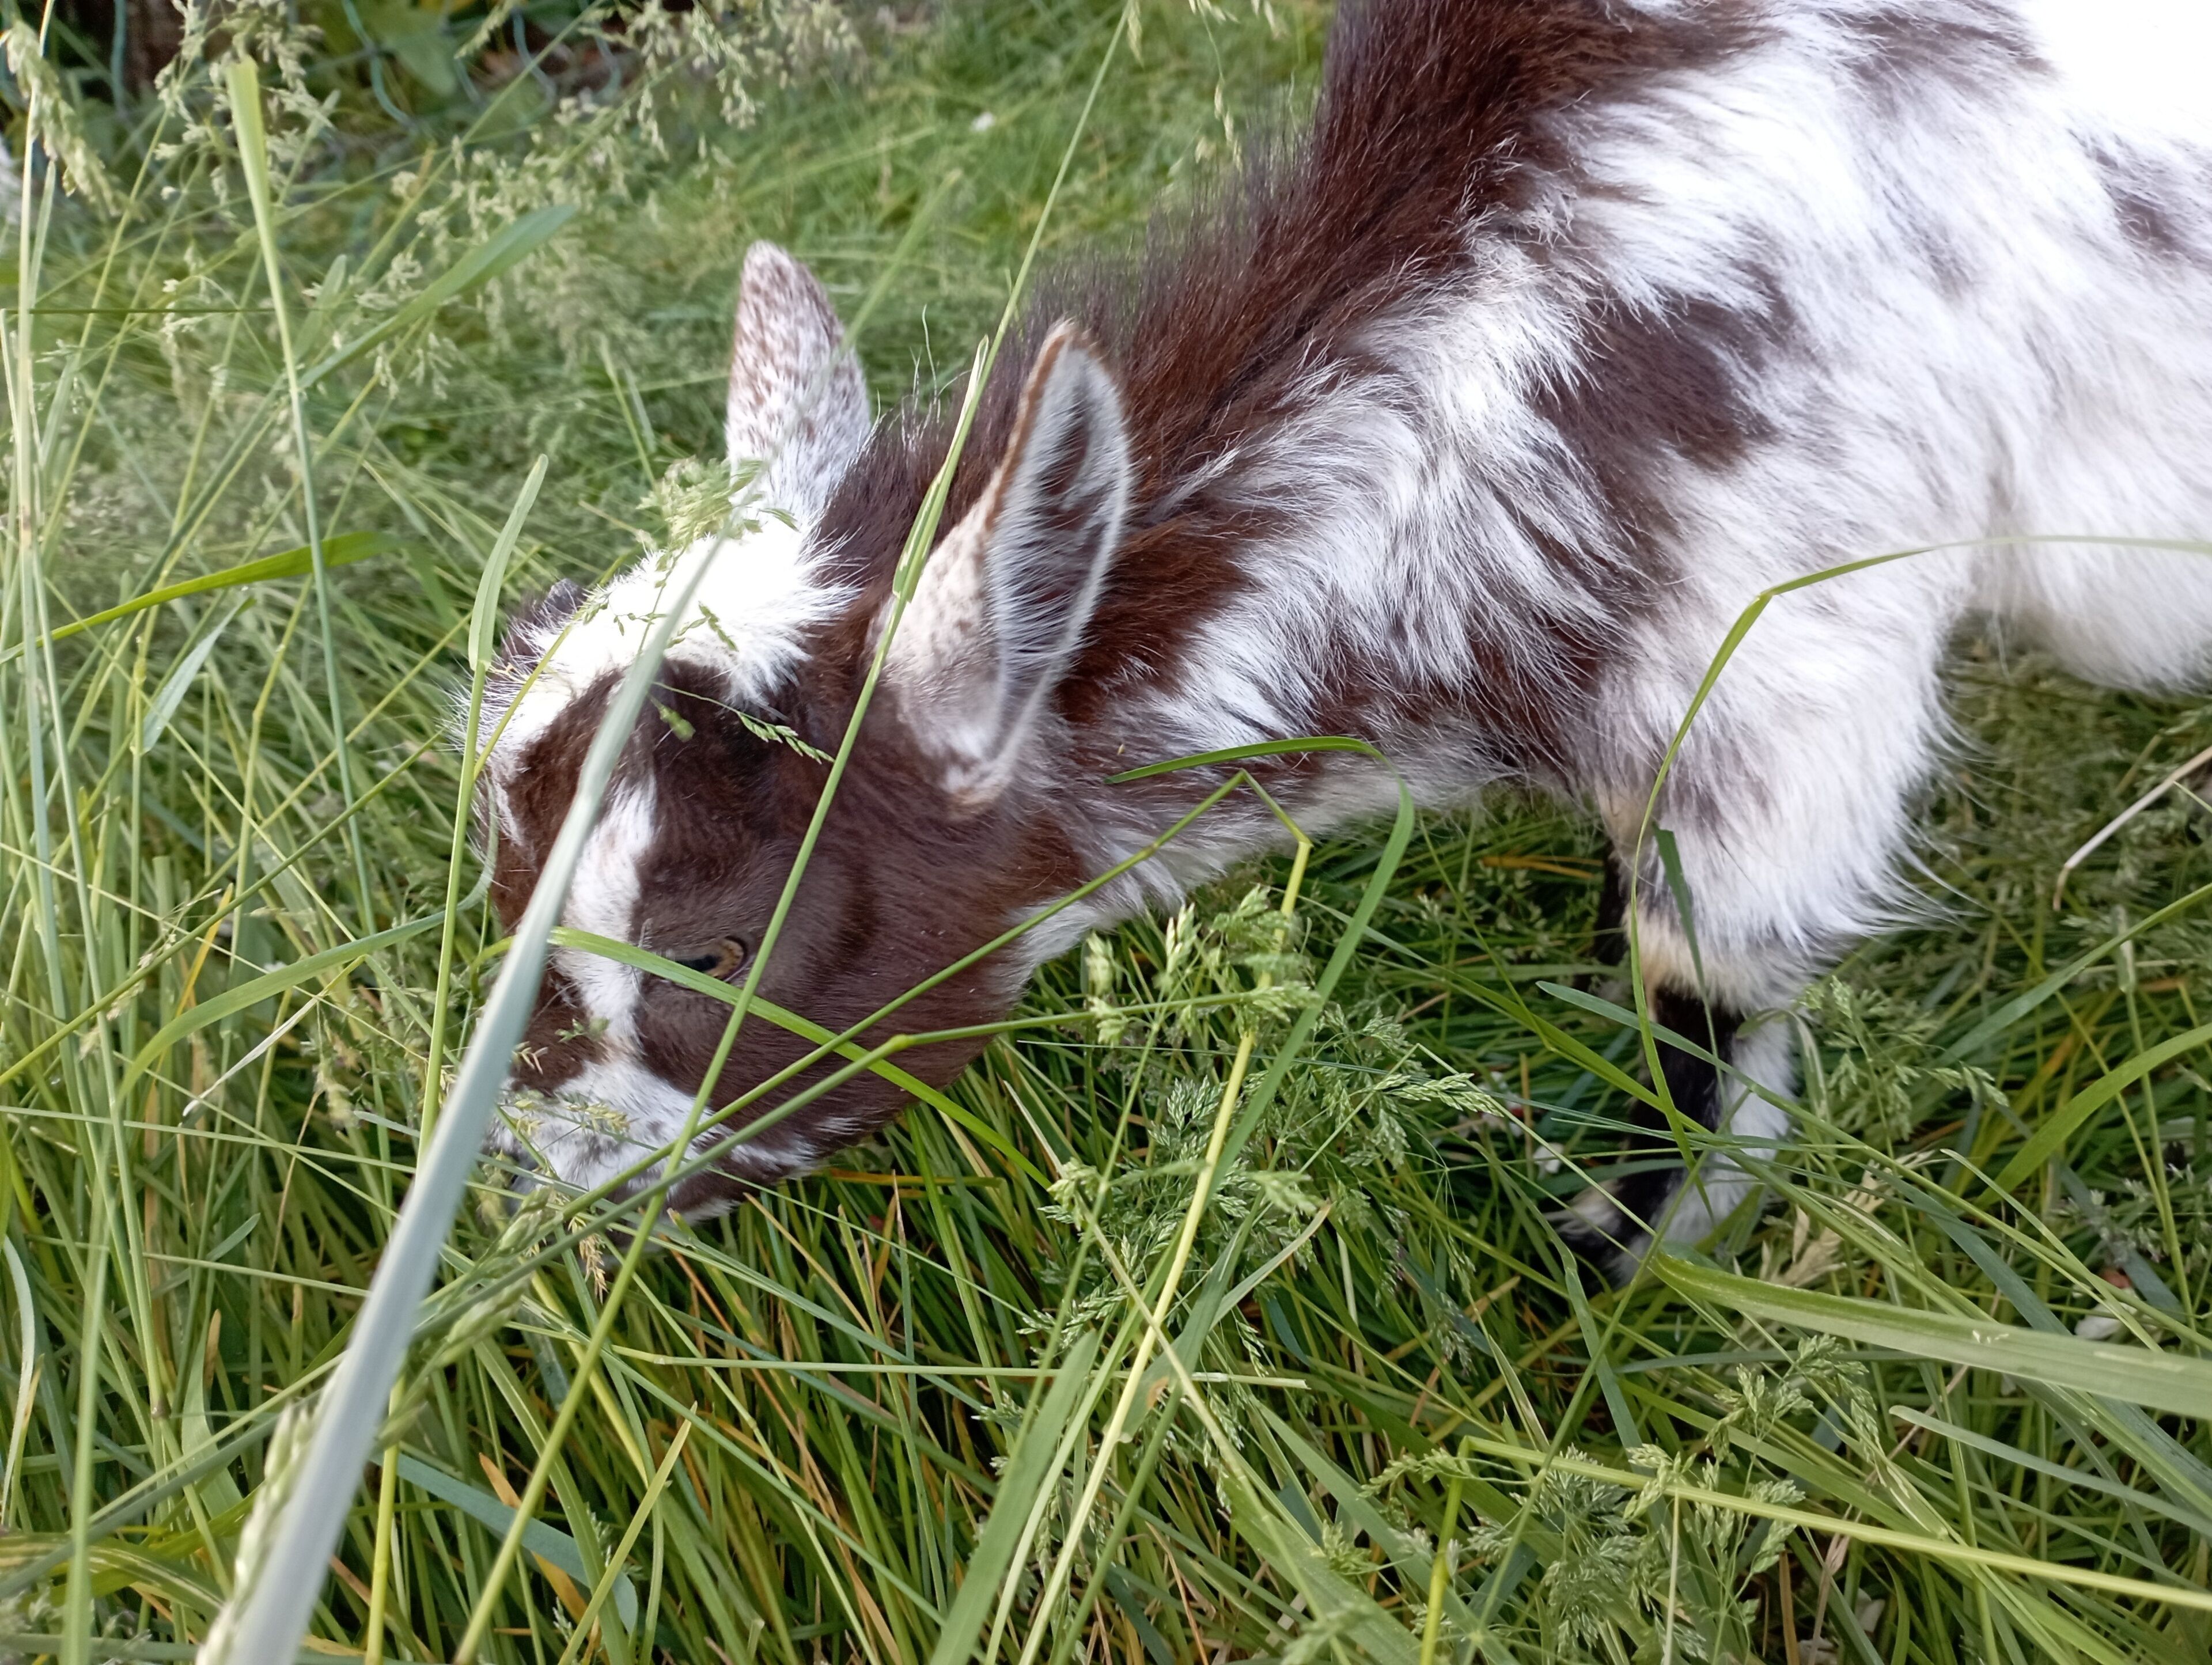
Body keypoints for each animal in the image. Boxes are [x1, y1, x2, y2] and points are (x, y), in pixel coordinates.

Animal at [477, 0, 2212, 1270]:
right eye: (498, 890)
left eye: (713, 945)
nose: (528, 1189)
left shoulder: (1784, 655)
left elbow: (1703, 999)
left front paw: (1598, 1263)